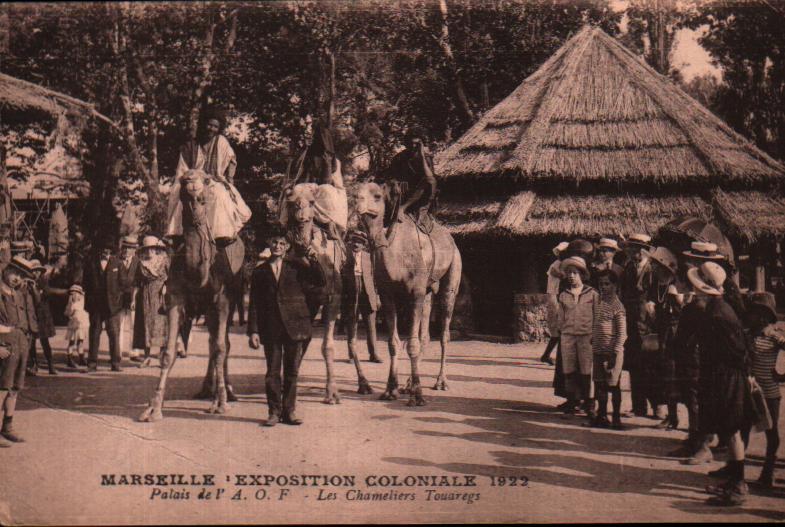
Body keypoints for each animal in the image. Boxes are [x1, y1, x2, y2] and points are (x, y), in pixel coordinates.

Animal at [138, 171, 242, 422]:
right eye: (183, 178)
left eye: (206, 181)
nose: (189, 180)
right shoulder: (175, 297)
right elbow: (168, 353)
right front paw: (153, 408)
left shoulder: (222, 299)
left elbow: (221, 348)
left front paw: (222, 403)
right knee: (212, 342)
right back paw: (207, 390)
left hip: (230, 301)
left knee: (222, 344)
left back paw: (226, 393)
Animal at [284, 184, 376, 402]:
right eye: (290, 201)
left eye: (311, 202)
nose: (301, 218)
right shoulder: (310, 301)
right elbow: (303, 341)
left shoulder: (332, 300)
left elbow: (328, 346)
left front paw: (332, 392)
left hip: (352, 301)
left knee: (352, 340)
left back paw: (364, 384)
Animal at [354, 182, 460, 408]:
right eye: (358, 193)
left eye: (377, 196)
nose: (357, 203)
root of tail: (451, 239)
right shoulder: (387, 295)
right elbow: (394, 343)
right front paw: (390, 390)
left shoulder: (415, 293)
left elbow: (411, 343)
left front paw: (417, 396)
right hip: (428, 291)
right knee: (425, 335)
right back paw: (408, 384)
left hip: (452, 274)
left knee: (444, 332)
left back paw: (440, 382)